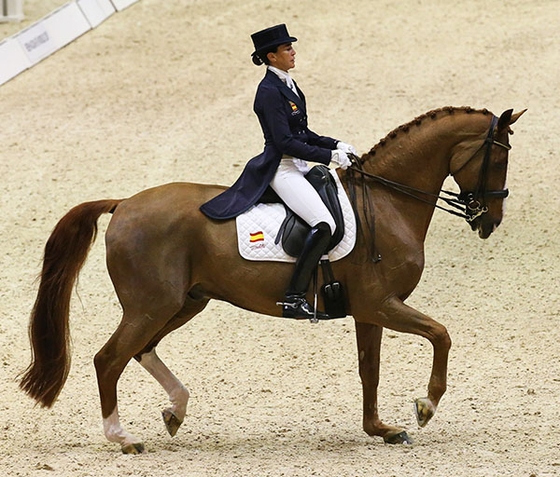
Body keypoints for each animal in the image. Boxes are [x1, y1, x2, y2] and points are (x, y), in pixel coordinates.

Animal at [17, 106, 524, 452]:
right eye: (498, 159)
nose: (490, 221)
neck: (387, 202)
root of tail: (124, 204)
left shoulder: (369, 311)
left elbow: (370, 369)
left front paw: (381, 429)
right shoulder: (382, 304)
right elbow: (441, 334)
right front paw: (426, 406)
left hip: (183, 302)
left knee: (141, 350)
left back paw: (175, 410)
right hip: (151, 305)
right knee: (109, 359)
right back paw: (123, 438)